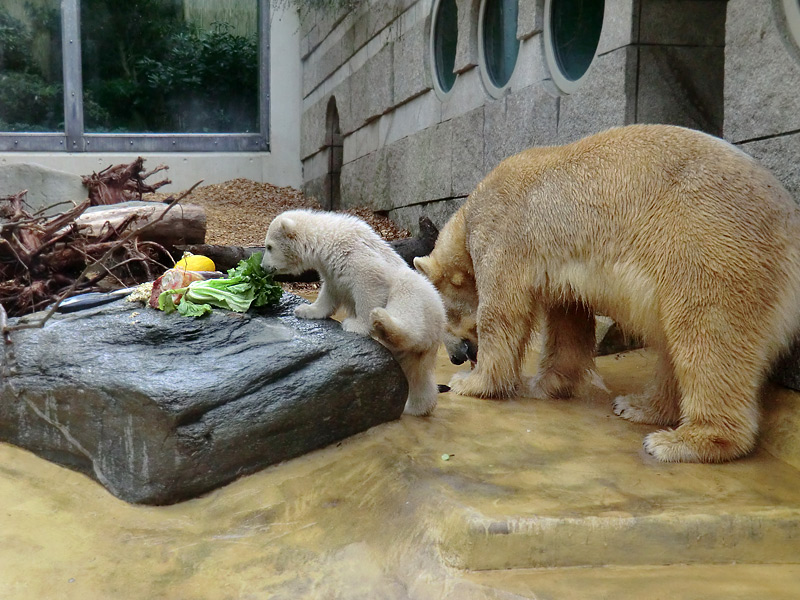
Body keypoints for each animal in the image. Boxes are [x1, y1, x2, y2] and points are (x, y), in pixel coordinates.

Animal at [266, 211, 446, 418]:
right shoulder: (330, 269)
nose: (263, 266)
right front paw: (305, 310)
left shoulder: (354, 253)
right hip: (414, 354)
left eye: (269, 246)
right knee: (417, 374)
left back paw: (382, 319)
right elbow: (330, 292)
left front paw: (356, 325)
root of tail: (438, 330)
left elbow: (368, 282)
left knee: (407, 305)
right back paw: (416, 407)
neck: (326, 239)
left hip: (417, 296)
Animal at [416, 123, 800, 464]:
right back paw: (639, 406)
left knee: (707, 335)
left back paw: (683, 441)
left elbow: (503, 310)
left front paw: (471, 383)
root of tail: (791, 224)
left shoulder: (504, 233)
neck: (470, 215)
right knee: (674, 342)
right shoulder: (561, 263)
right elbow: (567, 319)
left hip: (709, 246)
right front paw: (545, 384)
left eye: (446, 318)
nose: (455, 358)